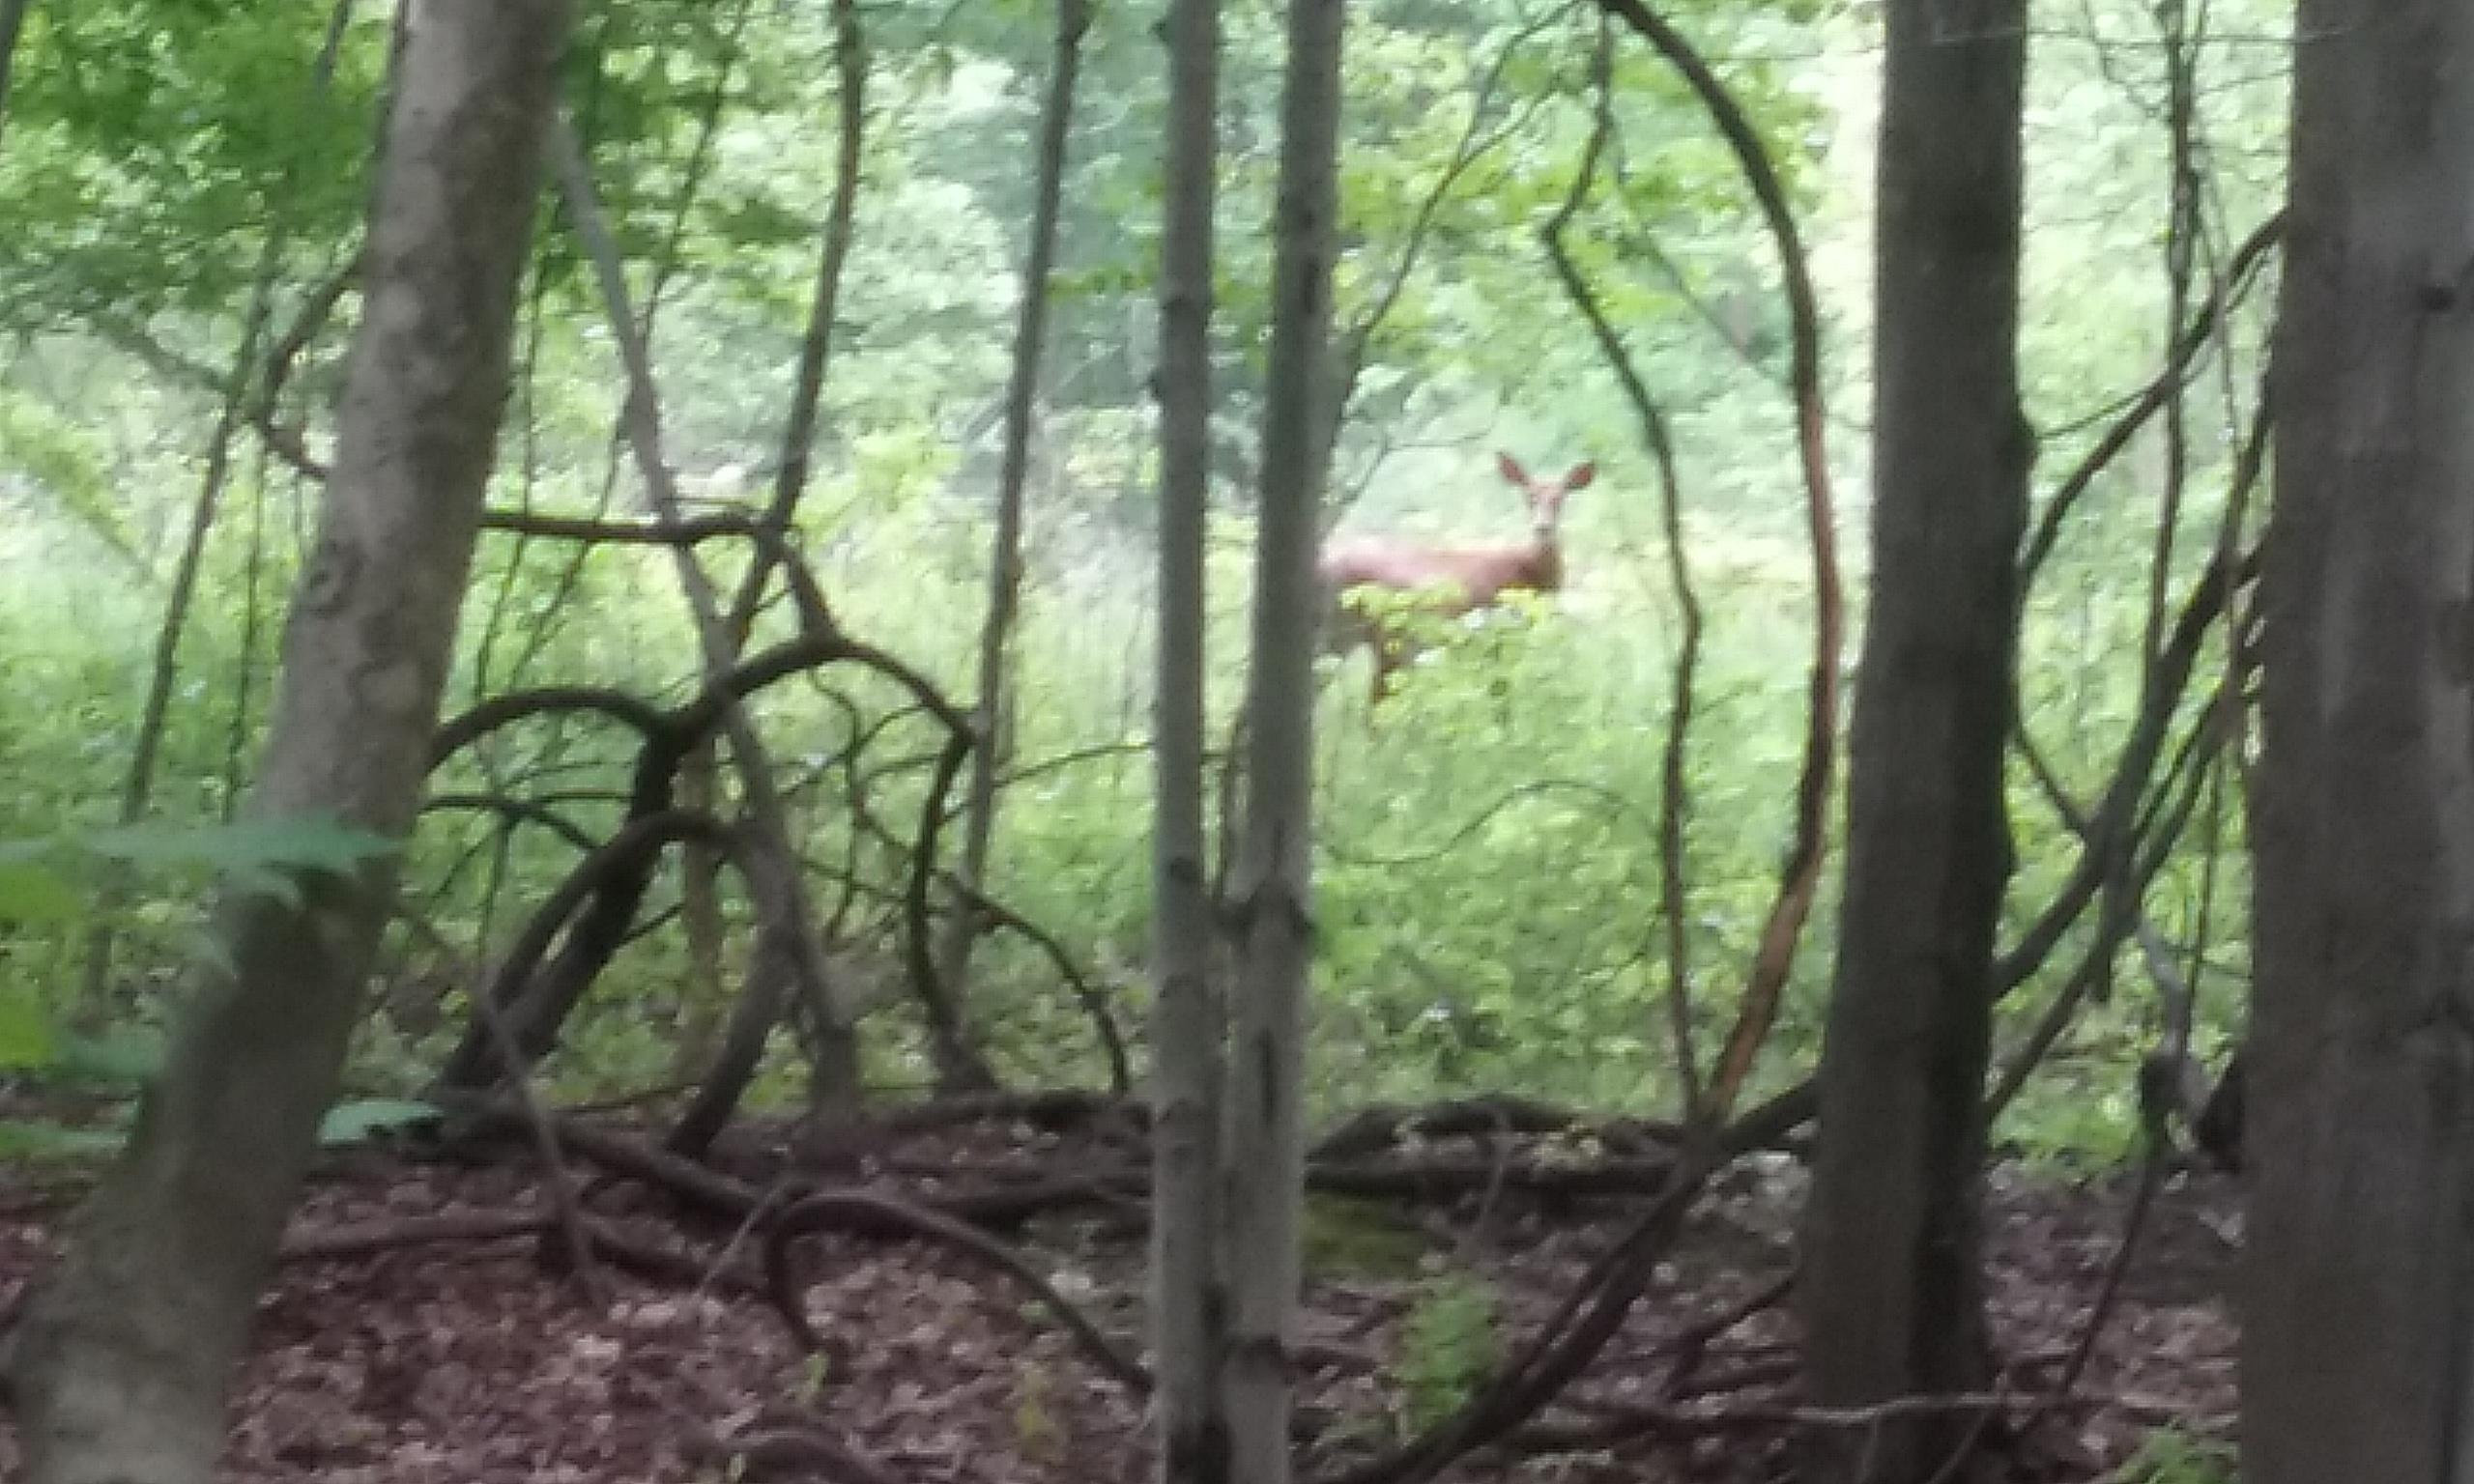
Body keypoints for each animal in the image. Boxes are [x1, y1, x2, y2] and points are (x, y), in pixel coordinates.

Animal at [1316, 451, 1596, 704]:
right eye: (1529, 498)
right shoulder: (1502, 629)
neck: (1525, 569)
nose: (1542, 528)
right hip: (1384, 637)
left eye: (1559, 499)